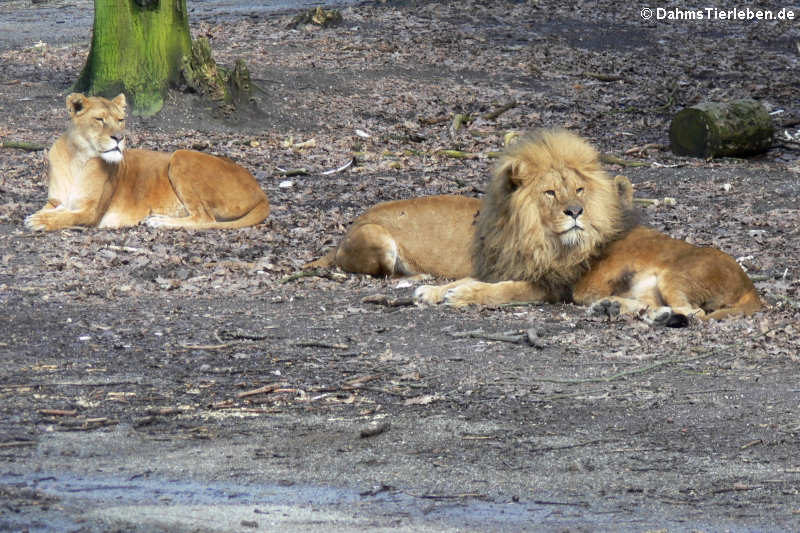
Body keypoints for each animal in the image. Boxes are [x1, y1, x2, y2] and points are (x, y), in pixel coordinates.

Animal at [25, 92, 268, 230]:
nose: (119, 137)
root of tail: (260, 189)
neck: (77, 159)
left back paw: (159, 221)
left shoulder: (91, 212)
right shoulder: (55, 201)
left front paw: (39, 222)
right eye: (100, 119)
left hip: (181, 155)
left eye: (121, 120)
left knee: (205, 218)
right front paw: (37, 216)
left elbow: (65, 218)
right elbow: (53, 210)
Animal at [416, 129, 760, 324]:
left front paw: (462, 295)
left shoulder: (552, 285)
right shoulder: (510, 265)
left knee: (695, 314)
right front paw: (433, 290)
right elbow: (470, 277)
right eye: (550, 192)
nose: (575, 211)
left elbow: (501, 290)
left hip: (677, 275)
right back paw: (618, 308)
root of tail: (752, 288)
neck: (529, 236)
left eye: (579, 190)